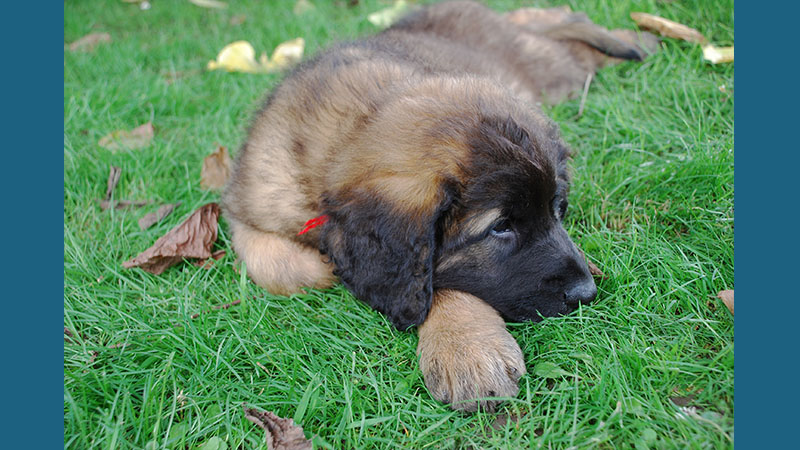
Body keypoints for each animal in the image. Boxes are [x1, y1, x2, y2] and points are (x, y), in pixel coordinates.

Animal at [223, 0, 656, 412]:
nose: (586, 292)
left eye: (557, 209)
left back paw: (638, 39)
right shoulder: (248, 204)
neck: (347, 133)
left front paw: (465, 347)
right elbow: (280, 267)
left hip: (551, 72)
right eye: (500, 227)